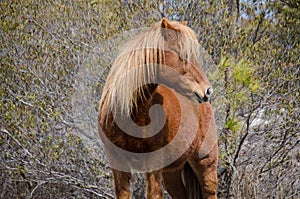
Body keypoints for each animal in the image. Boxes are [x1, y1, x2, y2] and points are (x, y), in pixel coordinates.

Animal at [98, 17, 218, 198]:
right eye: (182, 54)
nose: (208, 90)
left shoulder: (153, 165)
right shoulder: (118, 164)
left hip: (206, 164)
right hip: (172, 175)